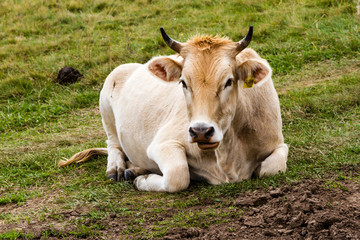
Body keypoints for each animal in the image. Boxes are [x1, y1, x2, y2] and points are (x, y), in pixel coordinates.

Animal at [59, 26, 290, 192]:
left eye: (228, 81)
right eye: (183, 82)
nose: (200, 131)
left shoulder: (278, 143)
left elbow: (271, 168)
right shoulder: (162, 144)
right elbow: (178, 176)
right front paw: (142, 181)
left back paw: (134, 169)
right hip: (107, 101)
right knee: (114, 144)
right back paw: (118, 168)